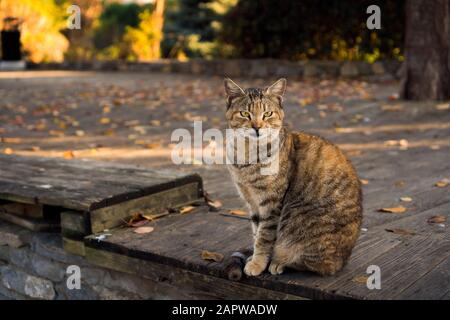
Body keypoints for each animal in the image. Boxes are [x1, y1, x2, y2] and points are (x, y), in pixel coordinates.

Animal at [225, 79, 362, 276]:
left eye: (267, 114)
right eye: (245, 113)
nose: (257, 128)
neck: (246, 154)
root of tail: (343, 260)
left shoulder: (271, 203)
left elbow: (264, 237)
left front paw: (258, 263)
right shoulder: (252, 201)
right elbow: (256, 231)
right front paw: (255, 258)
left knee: (316, 264)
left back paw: (278, 262)